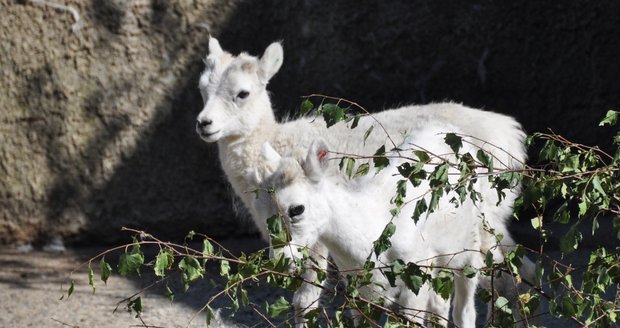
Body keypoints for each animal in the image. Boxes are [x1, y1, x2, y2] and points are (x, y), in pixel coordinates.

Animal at [196, 36, 536, 326]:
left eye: (242, 93)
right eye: (202, 89)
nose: (204, 124)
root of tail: (511, 135)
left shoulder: (315, 240)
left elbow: (304, 300)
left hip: (484, 221)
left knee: (506, 273)